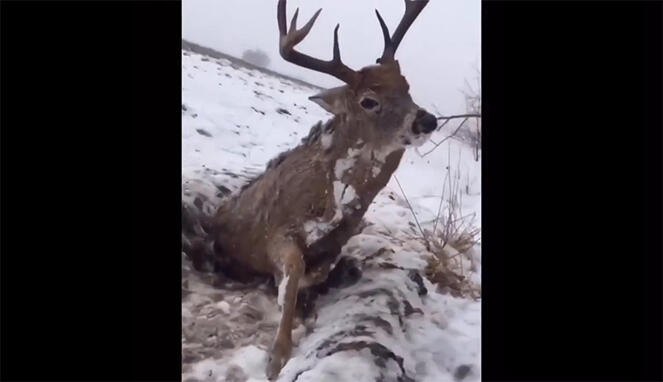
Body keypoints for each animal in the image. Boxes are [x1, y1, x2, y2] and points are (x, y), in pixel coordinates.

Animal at [184, 0, 438, 378]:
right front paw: (276, 358)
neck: (328, 204)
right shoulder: (277, 233)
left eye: (406, 85)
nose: (427, 120)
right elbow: (292, 276)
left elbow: (316, 270)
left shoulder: (338, 241)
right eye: (368, 100)